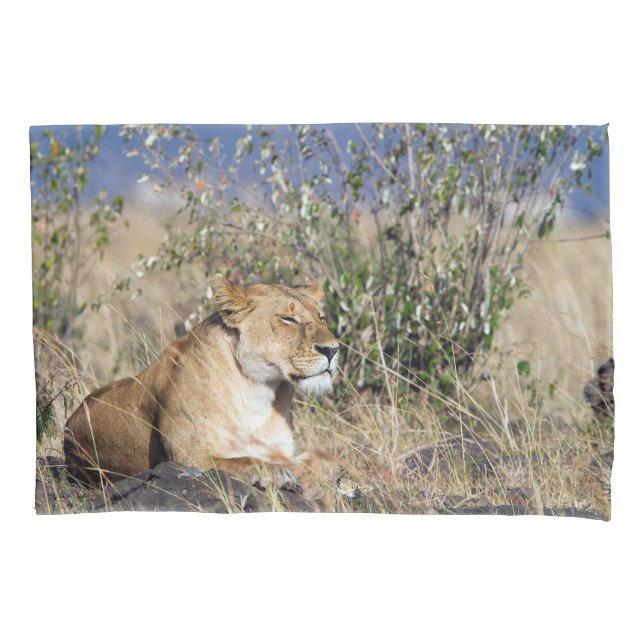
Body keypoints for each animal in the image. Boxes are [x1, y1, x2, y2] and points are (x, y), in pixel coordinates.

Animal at [64, 275, 340, 500]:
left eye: (321, 317)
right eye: (288, 319)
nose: (333, 350)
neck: (257, 389)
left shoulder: (281, 448)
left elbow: (314, 463)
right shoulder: (188, 459)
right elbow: (244, 461)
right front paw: (279, 474)